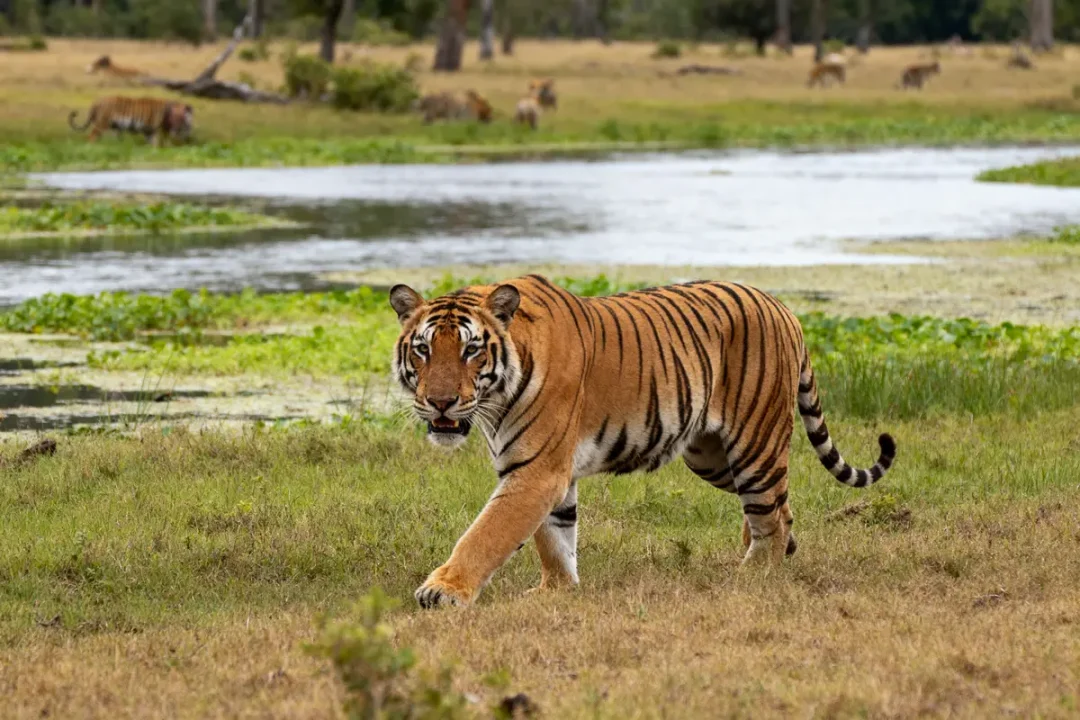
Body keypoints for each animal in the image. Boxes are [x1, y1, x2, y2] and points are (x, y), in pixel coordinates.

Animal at [390, 275, 897, 608]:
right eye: (423, 349)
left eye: (471, 350)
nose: (440, 403)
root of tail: (783, 307)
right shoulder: (546, 473)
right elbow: (554, 537)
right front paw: (557, 591)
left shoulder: (536, 472)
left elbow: (486, 534)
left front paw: (443, 590)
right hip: (712, 456)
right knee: (779, 508)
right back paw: (776, 553)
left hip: (755, 444)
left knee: (770, 515)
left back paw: (755, 574)